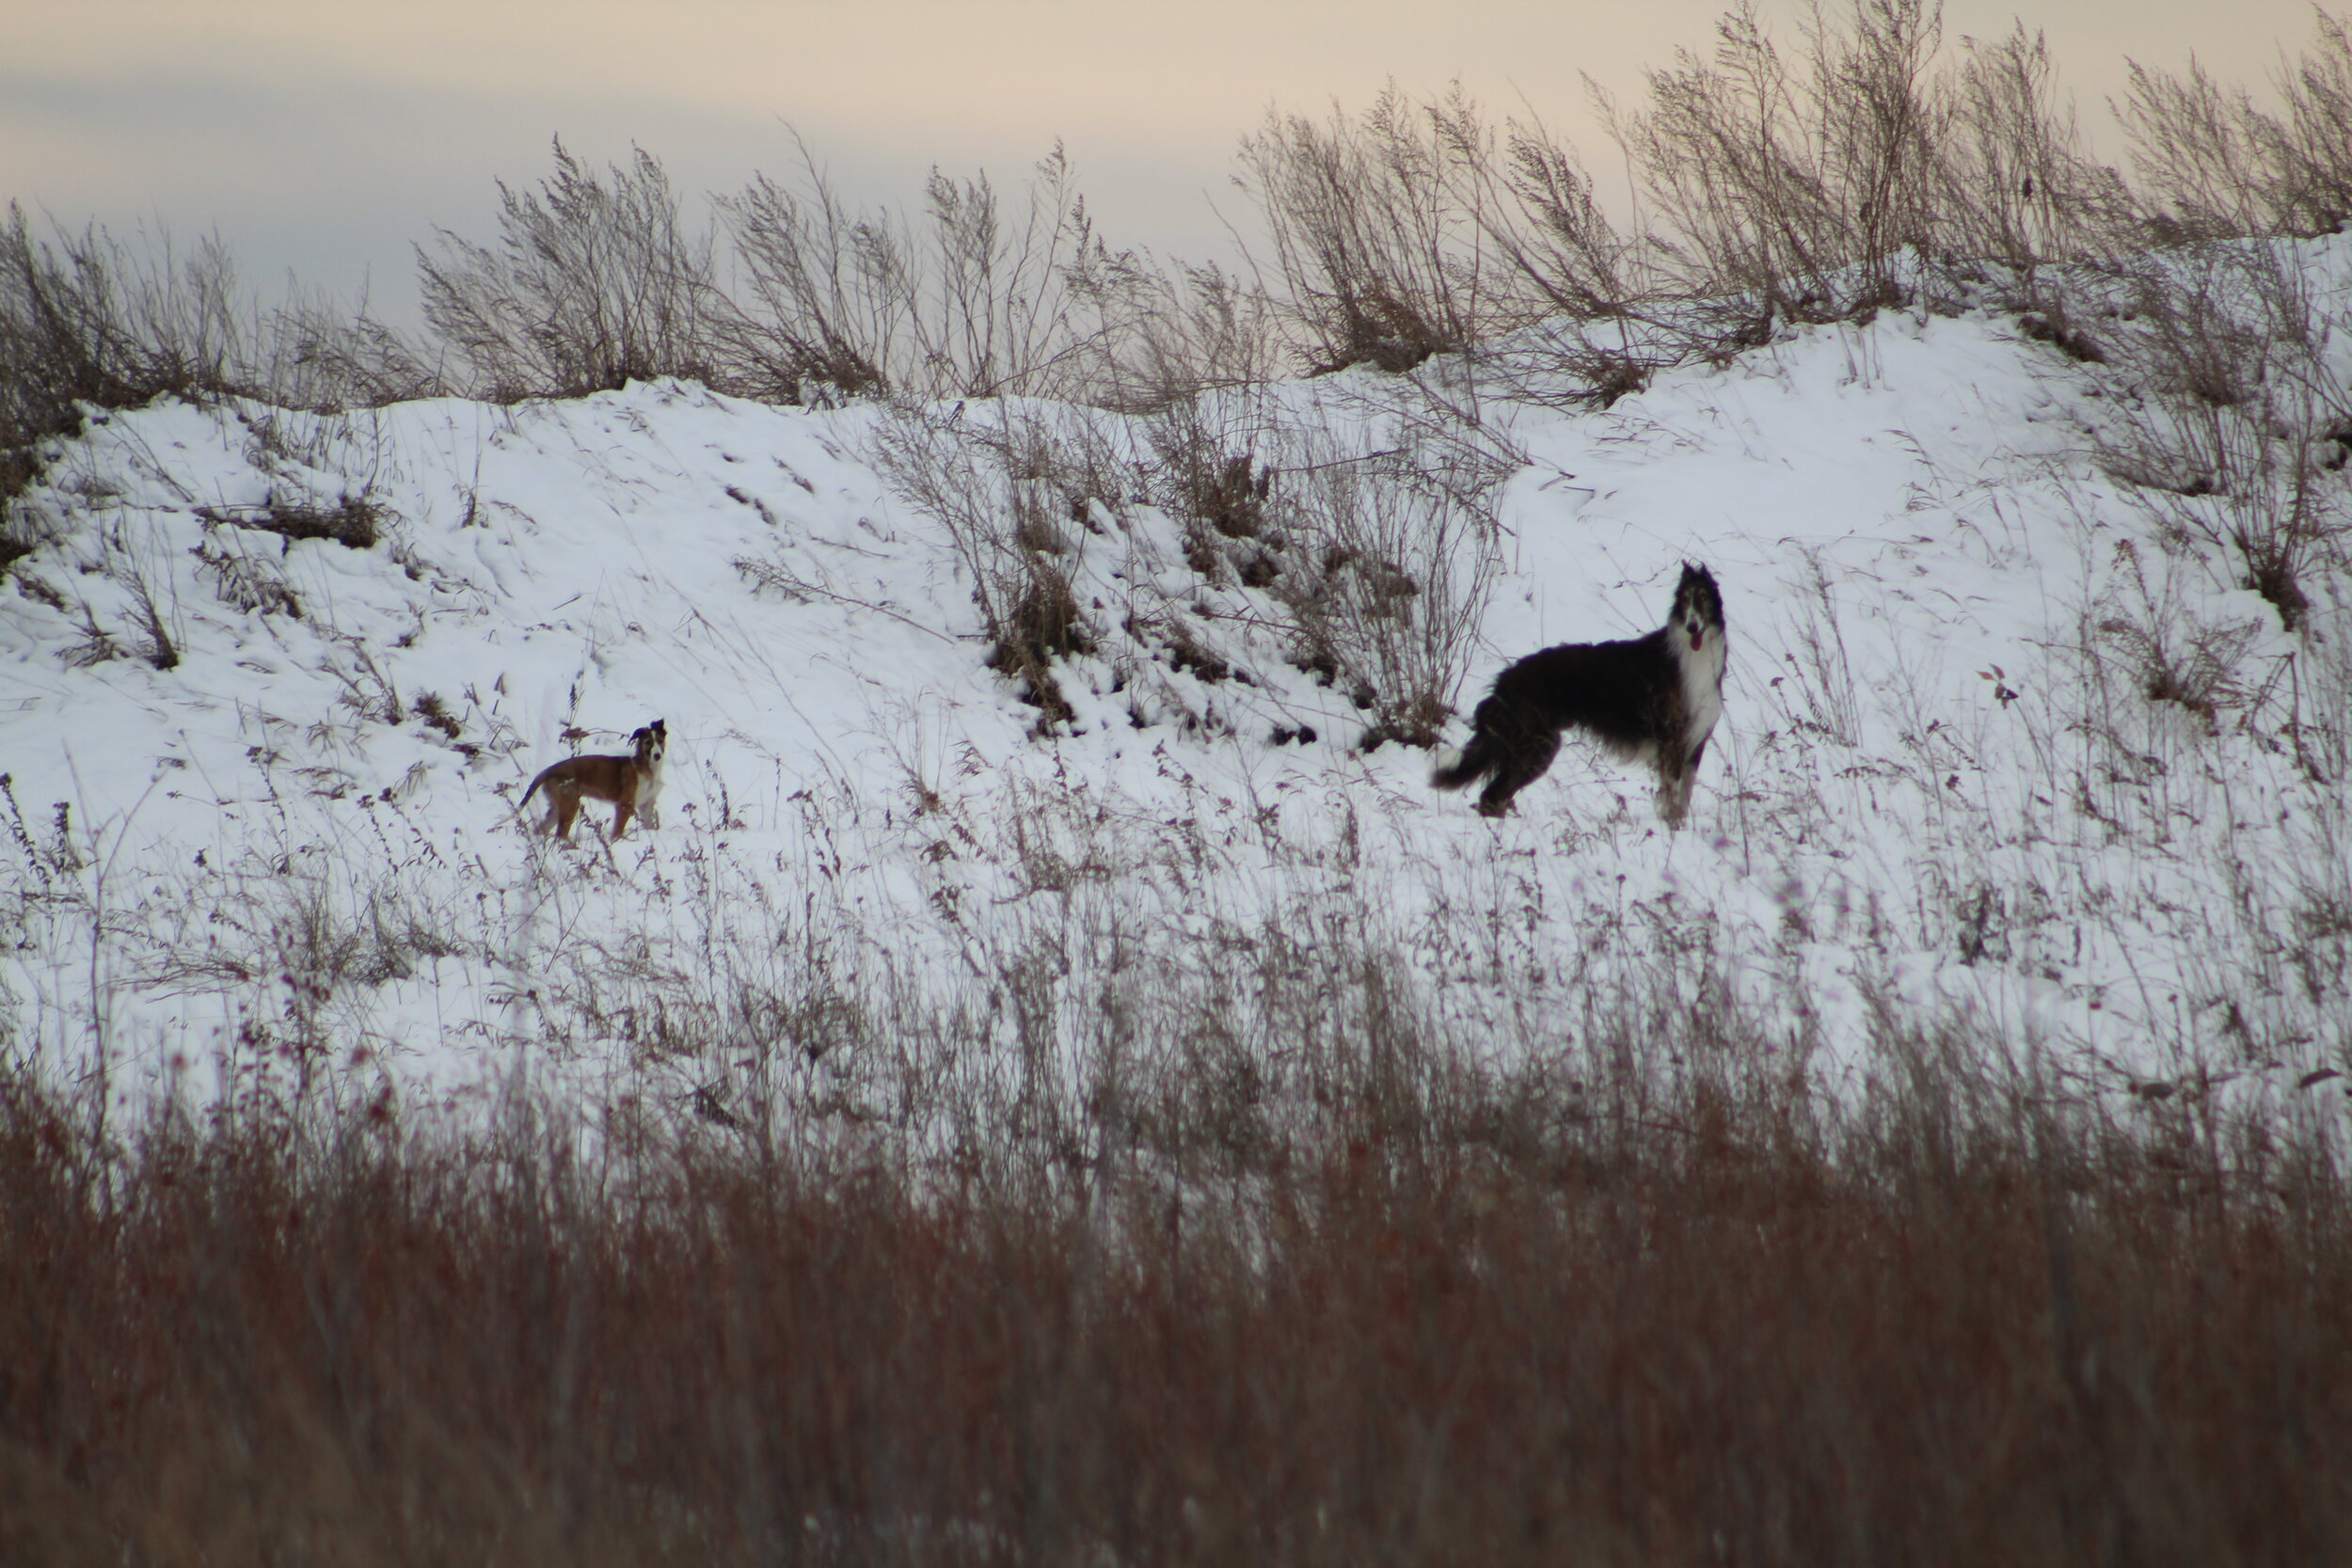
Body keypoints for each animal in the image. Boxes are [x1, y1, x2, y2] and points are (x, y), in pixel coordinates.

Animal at [515, 728, 663, 846]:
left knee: (541, 829)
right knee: (560, 834)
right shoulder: (625, 805)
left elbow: (649, 825)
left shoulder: (646, 805)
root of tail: (548, 770)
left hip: (558, 807)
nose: (657, 755)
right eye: (648, 742)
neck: (647, 768)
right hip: (570, 805)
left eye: (660, 741)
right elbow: (618, 831)